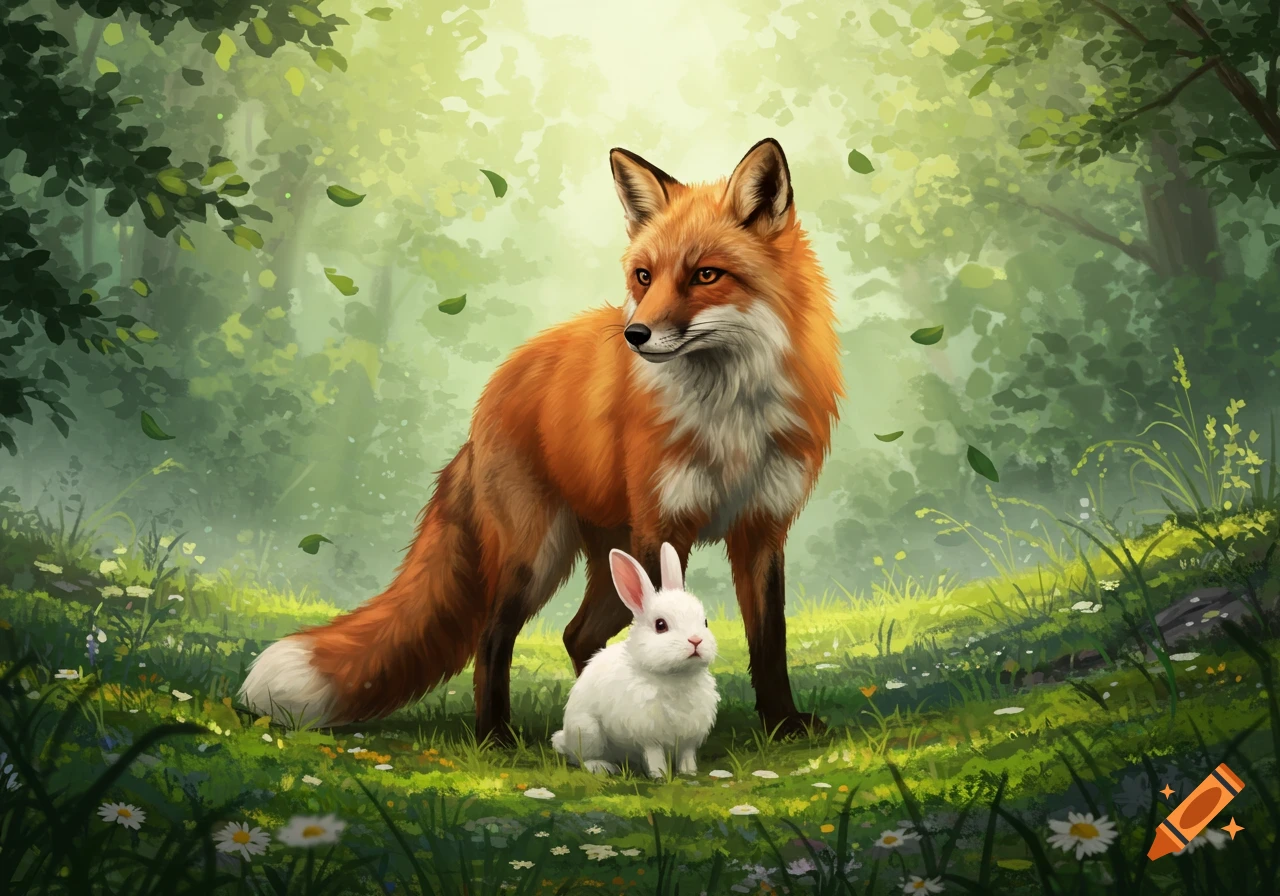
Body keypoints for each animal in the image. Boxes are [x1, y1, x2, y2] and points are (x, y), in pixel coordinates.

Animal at [239, 138, 844, 743]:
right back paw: (494, 736)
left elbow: (769, 640)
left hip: (606, 558)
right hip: (537, 555)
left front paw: (782, 724)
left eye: (706, 275)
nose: (635, 335)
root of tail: (489, 397)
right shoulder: (662, 524)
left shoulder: (762, 527)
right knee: (493, 634)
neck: (728, 413)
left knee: (578, 636)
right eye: (644, 276)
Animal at [551, 542, 719, 779]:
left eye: (704, 622)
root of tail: (564, 739)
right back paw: (601, 767)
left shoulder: (688, 738)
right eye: (660, 625)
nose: (696, 640)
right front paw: (660, 776)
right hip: (588, 731)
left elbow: (687, 755)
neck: (675, 676)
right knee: (581, 758)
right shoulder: (648, 735)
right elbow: (655, 755)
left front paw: (690, 773)